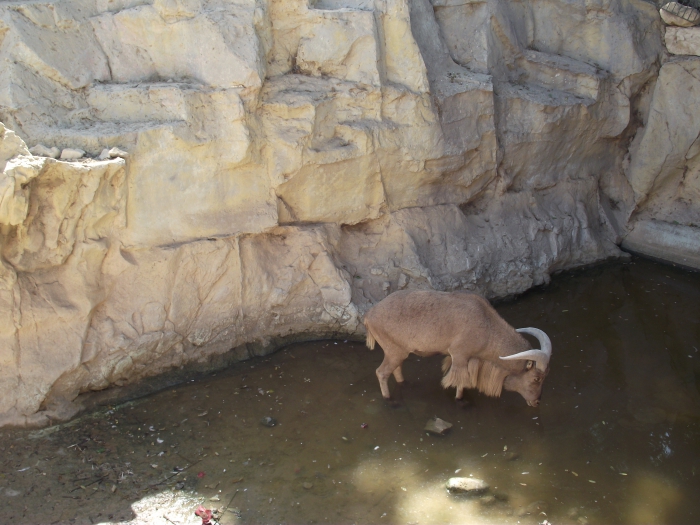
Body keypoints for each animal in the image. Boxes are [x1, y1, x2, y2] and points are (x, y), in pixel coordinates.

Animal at [360, 290, 552, 406]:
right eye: (537, 378)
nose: (537, 402)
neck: (487, 326)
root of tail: (369, 315)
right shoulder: (460, 355)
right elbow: (459, 380)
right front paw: (461, 401)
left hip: (399, 351)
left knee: (396, 369)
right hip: (393, 351)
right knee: (381, 372)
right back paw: (389, 400)